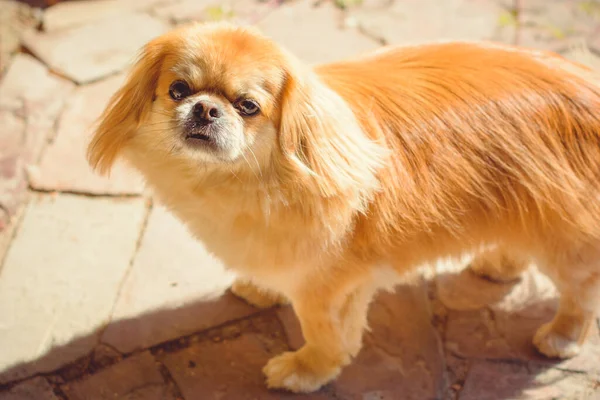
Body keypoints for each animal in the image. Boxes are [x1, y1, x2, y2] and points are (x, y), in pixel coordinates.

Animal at [86, 21, 600, 394]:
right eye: (178, 90)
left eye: (248, 106)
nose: (206, 109)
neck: (246, 180)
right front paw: (262, 288)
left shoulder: (327, 287)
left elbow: (325, 336)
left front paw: (305, 370)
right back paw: (497, 263)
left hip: (565, 237)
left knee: (579, 292)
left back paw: (561, 335)